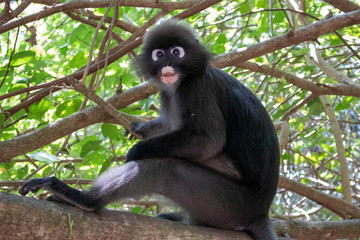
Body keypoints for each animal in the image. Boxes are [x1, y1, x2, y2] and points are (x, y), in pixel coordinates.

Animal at [18, 20, 280, 240]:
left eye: (176, 52)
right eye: (159, 54)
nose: (167, 64)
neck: (182, 79)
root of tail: (259, 213)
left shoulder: (196, 87)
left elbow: (209, 141)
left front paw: (136, 149)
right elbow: (170, 123)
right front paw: (139, 128)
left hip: (227, 204)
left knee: (164, 170)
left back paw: (84, 199)